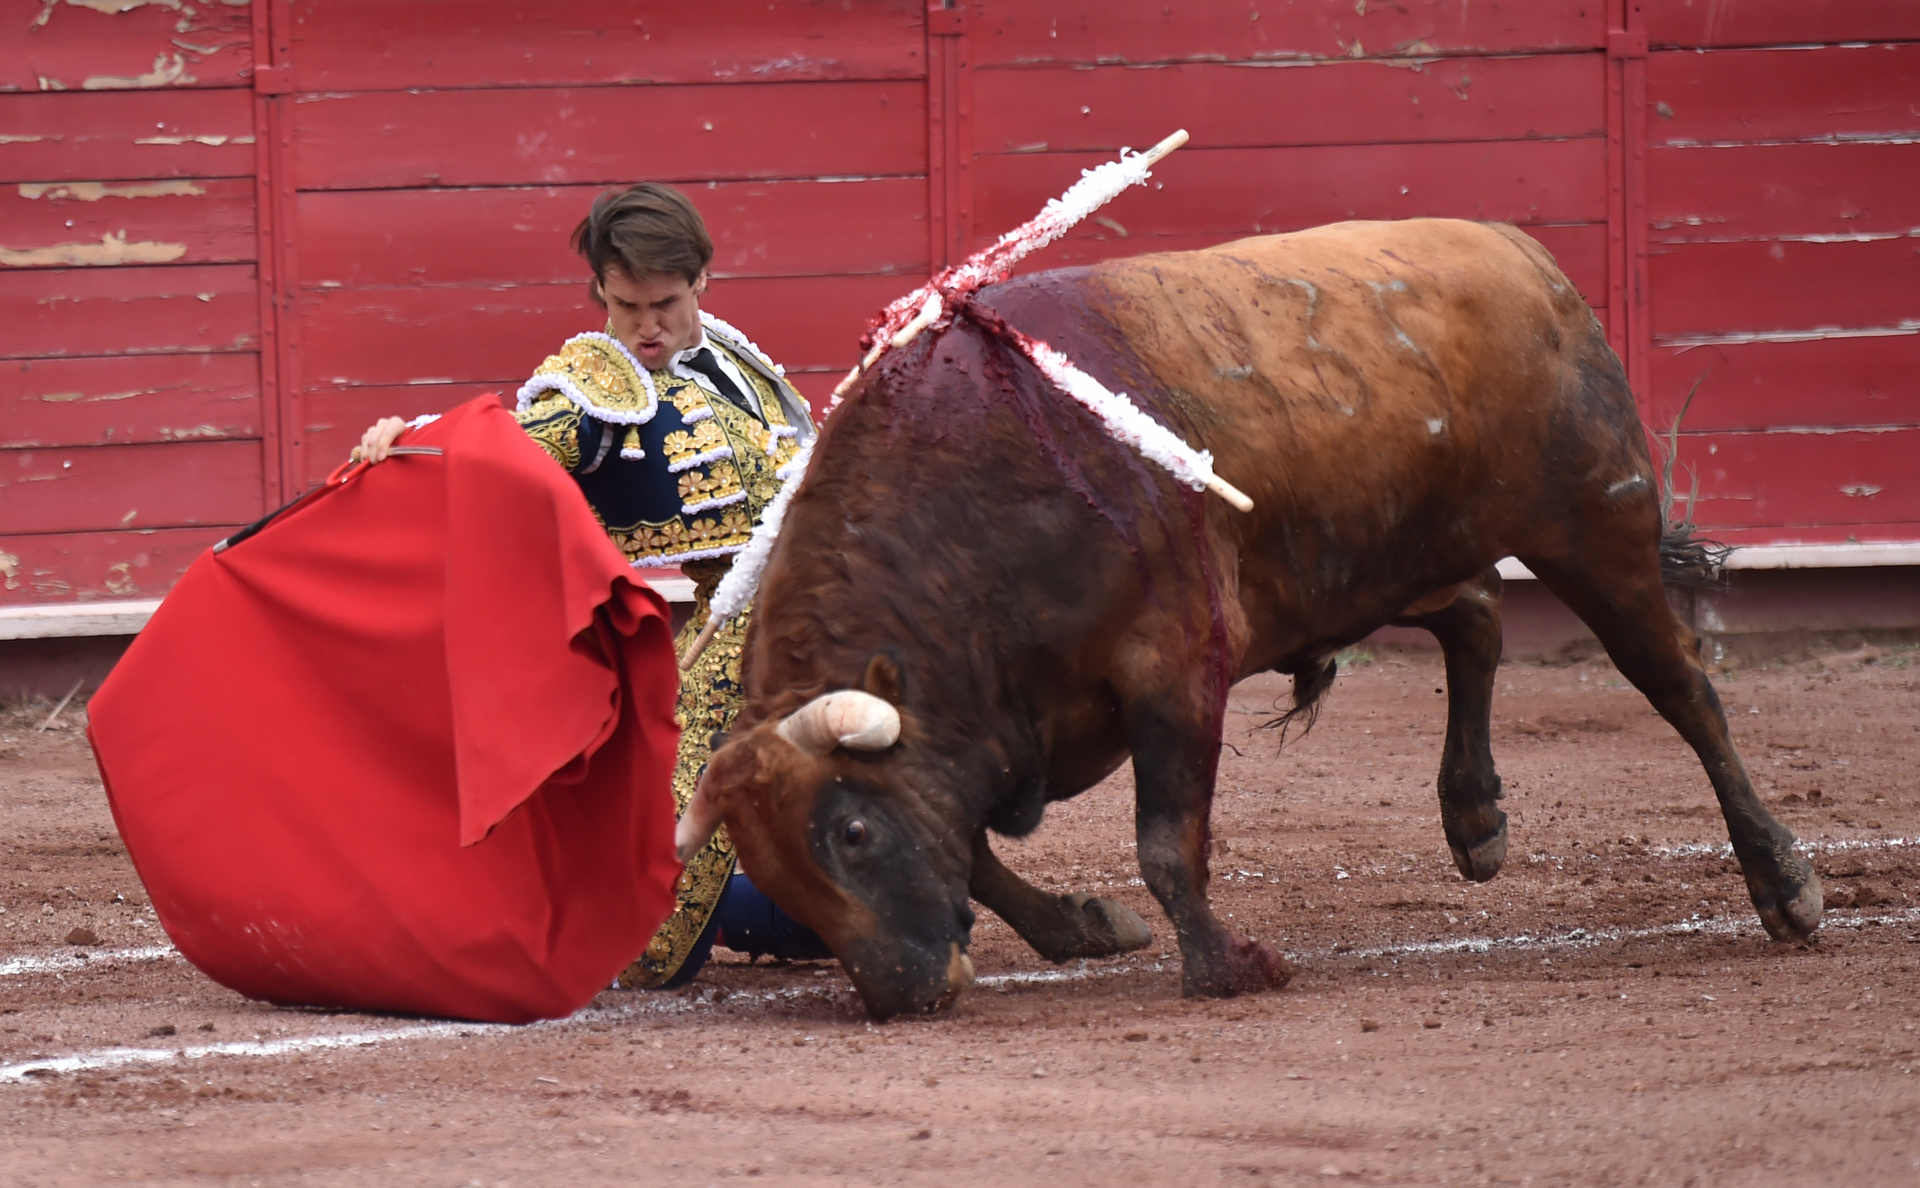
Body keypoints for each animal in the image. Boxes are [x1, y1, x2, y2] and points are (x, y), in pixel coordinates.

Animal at [672, 218, 1812, 1021]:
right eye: (772, 875)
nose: (907, 993)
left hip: (1596, 525)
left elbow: (1165, 841)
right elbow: (977, 850)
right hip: (1384, 555)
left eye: (852, 833)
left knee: (1683, 691)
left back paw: (1785, 886)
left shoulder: (1174, 668)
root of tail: (1525, 257)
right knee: (1479, 619)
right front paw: (1086, 930)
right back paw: (1476, 821)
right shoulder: (988, 732)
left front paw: (1229, 966)